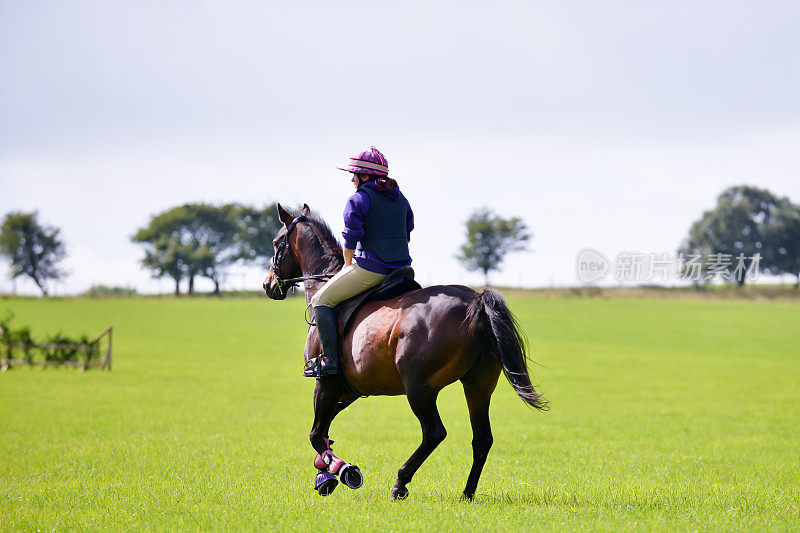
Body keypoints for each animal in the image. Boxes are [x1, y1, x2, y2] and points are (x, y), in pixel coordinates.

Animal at [260, 204, 544, 498]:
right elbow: (324, 431)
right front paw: (324, 472)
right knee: (482, 438)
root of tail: (476, 301)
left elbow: (316, 434)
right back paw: (467, 493)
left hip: (419, 388)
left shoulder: (326, 382)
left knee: (434, 432)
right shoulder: (350, 388)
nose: (267, 284)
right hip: (478, 385)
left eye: (276, 243)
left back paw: (400, 481)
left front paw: (342, 471)